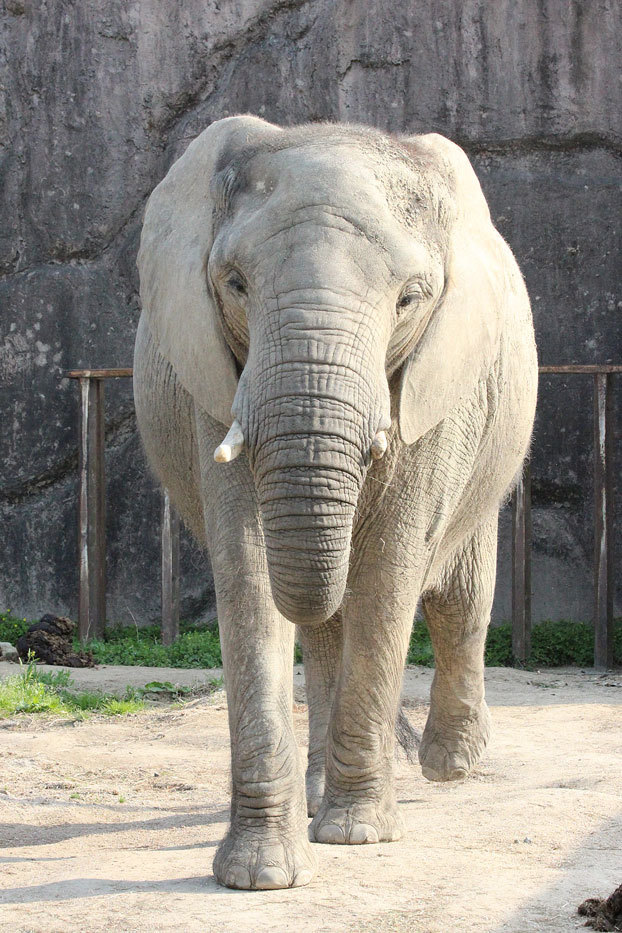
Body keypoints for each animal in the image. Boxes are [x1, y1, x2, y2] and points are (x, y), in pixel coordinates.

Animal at [134, 114, 540, 888]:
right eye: (234, 283)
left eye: (411, 297)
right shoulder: (217, 383)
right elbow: (250, 570)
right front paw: (259, 875)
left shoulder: (433, 390)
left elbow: (389, 573)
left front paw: (357, 836)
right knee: (327, 625)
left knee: (458, 596)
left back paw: (448, 765)